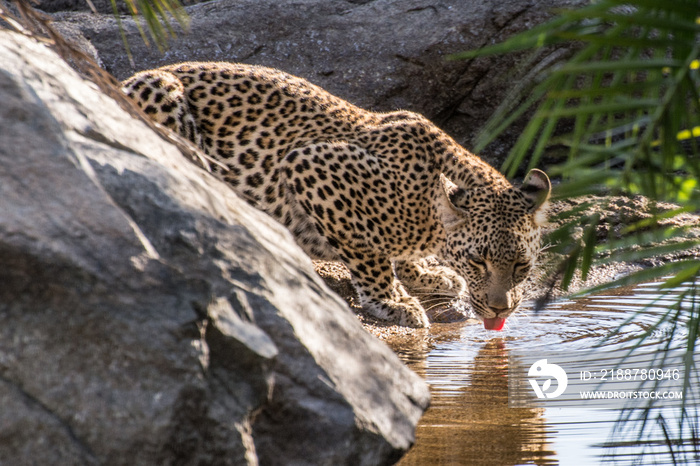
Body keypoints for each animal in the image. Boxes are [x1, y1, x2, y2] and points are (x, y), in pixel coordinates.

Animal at [123, 62, 548, 330]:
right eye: (478, 261)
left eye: (521, 266)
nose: (501, 308)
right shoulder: (310, 166)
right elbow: (369, 255)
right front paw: (394, 301)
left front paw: (426, 272)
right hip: (161, 90)